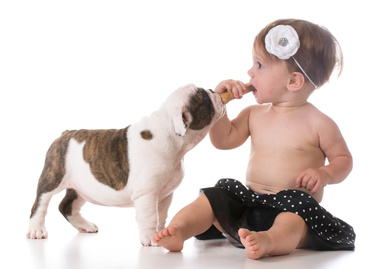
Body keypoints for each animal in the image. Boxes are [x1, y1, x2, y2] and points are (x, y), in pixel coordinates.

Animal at [26, 84, 225, 245]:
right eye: (204, 98)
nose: (213, 90)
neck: (169, 132)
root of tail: (66, 133)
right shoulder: (147, 194)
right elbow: (150, 216)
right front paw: (149, 238)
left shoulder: (165, 195)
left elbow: (161, 215)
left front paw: (162, 233)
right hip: (53, 177)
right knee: (40, 203)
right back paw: (37, 230)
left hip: (81, 187)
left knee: (66, 206)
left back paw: (85, 225)